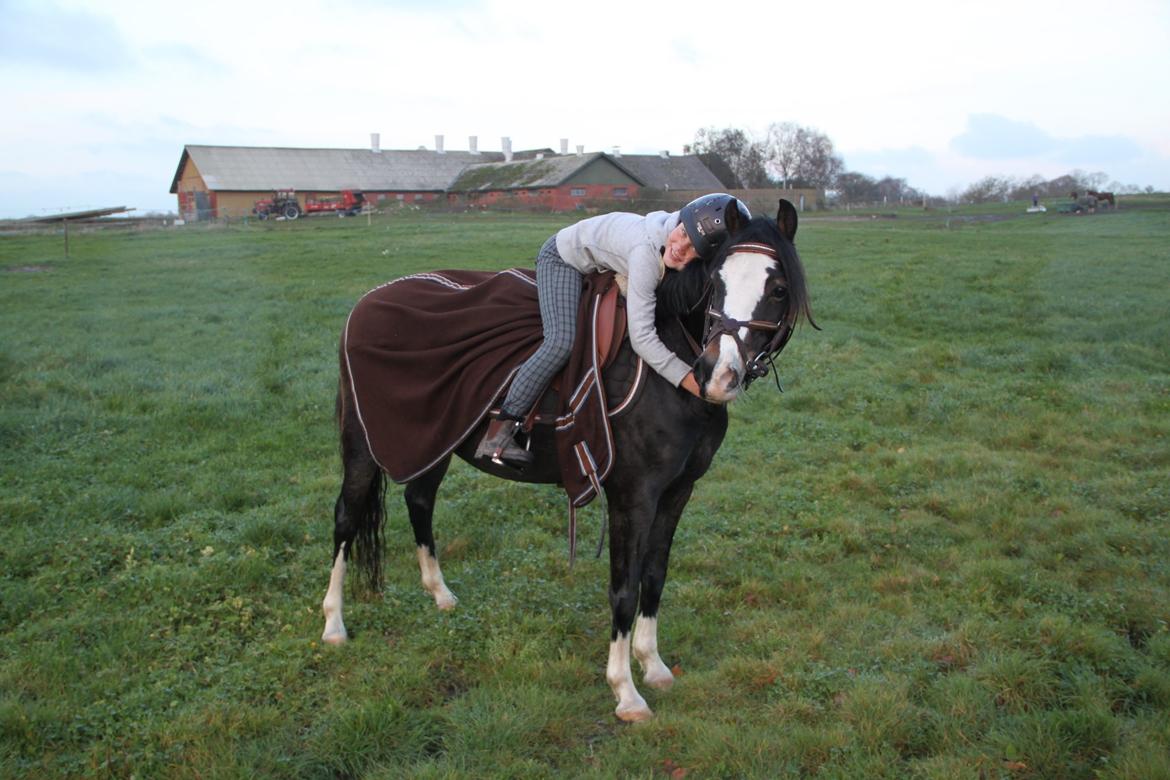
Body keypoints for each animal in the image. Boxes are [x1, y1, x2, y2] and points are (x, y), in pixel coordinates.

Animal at [320, 199, 817, 721]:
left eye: (778, 289)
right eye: (716, 283)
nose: (717, 375)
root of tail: (365, 305)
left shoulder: (678, 491)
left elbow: (655, 576)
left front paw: (654, 666)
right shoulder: (632, 496)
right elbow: (624, 587)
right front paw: (625, 691)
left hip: (432, 441)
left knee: (419, 500)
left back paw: (441, 595)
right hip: (362, 445)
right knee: (346, 517)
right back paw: (333, 624)